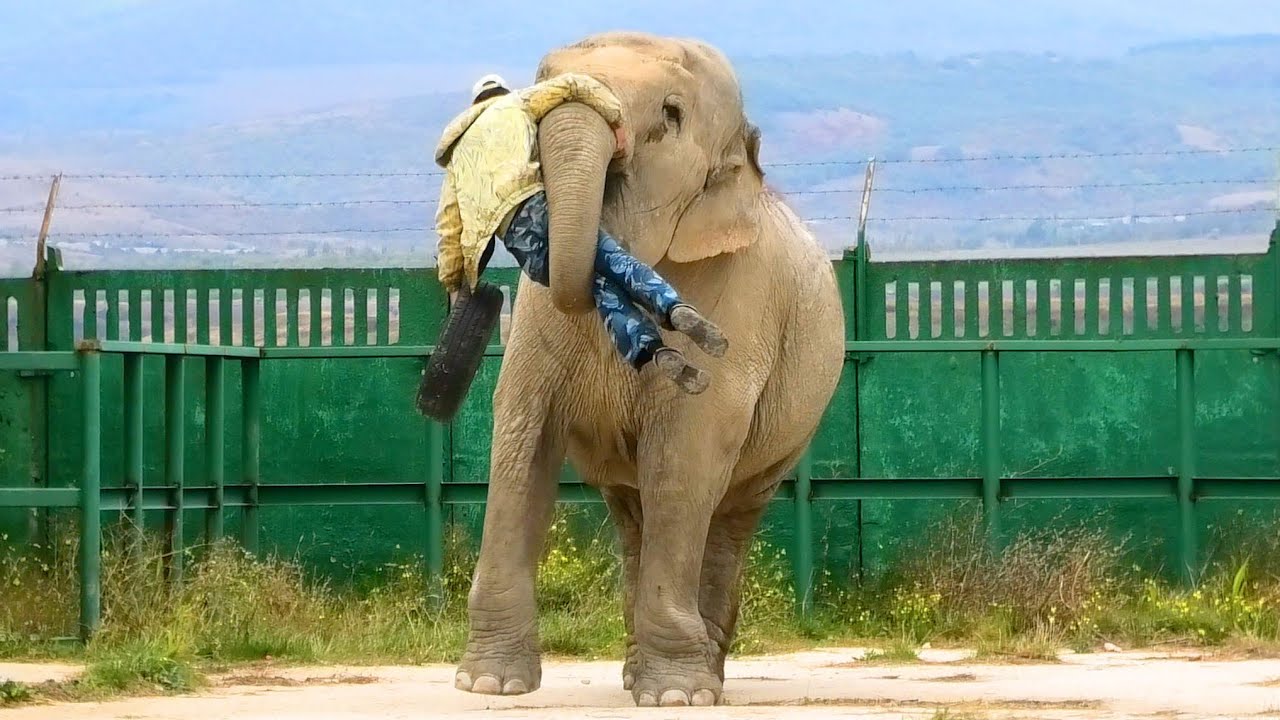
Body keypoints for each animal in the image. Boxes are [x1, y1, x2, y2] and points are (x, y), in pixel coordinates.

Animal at [453, 31, 846, 707]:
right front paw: (488, 686)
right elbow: (524, 436)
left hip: (791, 435)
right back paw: (644, 674)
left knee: (725, 515)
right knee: (634, 513)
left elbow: (684, 459)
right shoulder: (533, 316)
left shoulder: (742, 297)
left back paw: (698, 677)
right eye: (539, 82)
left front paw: (678, 699)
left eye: (671, 114)